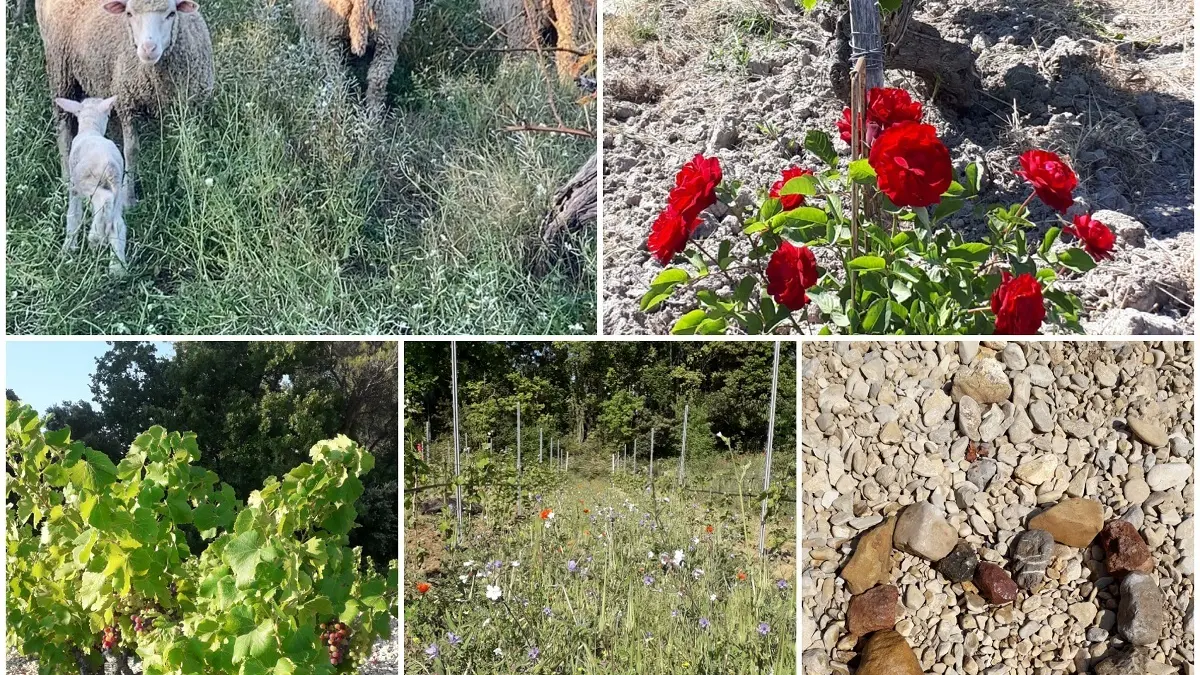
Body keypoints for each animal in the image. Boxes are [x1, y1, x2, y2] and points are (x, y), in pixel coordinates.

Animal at [35, 0, 213, 199]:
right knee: (63, 129)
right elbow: (131, 151)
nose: (148, 49)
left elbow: (185, 142)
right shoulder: (127, 103)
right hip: (59, 69)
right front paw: (128, 196)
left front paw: (188, 182)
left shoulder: (189, 106)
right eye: (129, 14)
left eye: (171, 14)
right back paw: (66, 180)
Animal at [54, 95, 127, 273]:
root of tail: (108, 164)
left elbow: (73, 214)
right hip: (118, 189)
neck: (90, 128)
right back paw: (117, 268)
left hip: (89, 183)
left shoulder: (74, 187)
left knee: (105, 199)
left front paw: (68, 247)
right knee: (118, 224)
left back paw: (95, 237)